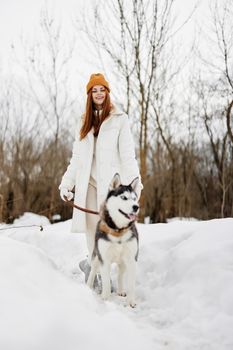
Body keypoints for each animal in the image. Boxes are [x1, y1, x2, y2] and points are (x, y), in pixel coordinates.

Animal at [86, 174, 139, 308]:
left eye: (135, 198)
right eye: (124, 197)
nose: (136, 207)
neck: (118, 231)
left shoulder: (131, 259)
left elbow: (131, 283)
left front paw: (131, 301)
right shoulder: (104, 258)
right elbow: (106, 281)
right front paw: (105, 298)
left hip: (123, 261)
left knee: (120, 275)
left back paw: (120, 290)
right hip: (96, 256)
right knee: (93, 270)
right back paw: (88, 285)